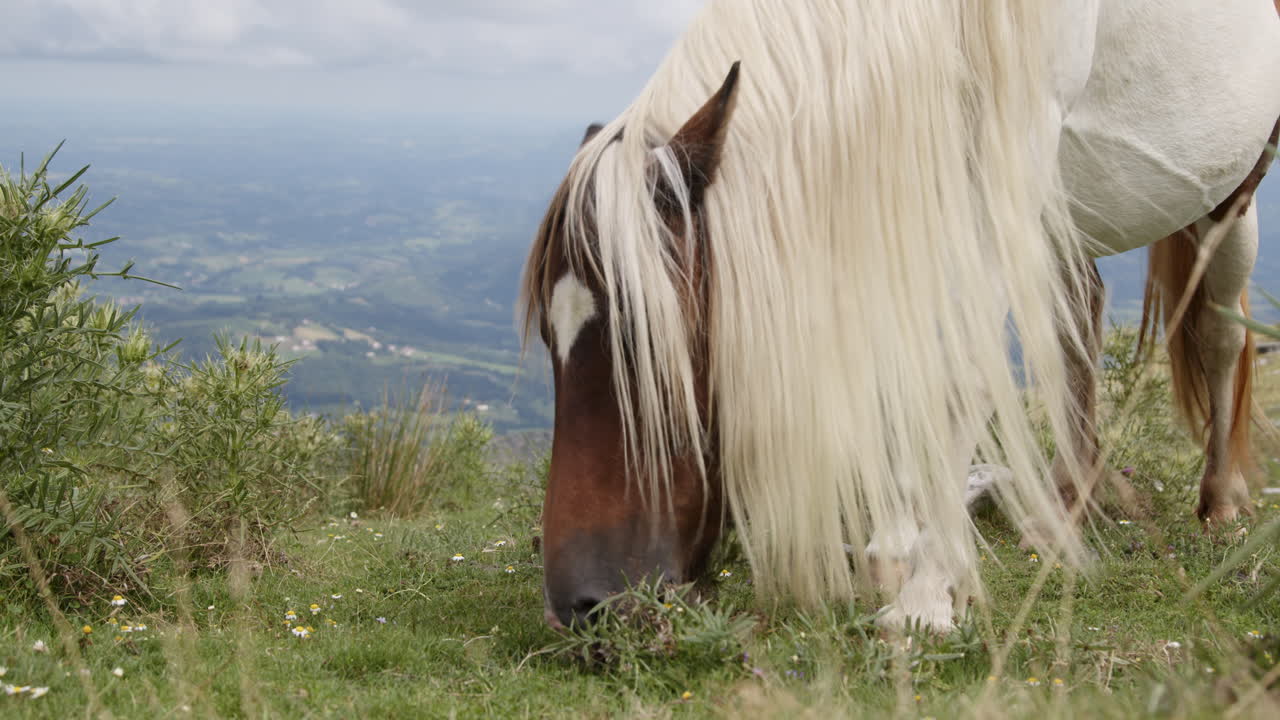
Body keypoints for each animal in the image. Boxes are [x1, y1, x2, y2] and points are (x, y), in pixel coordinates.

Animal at [519, 0, 1280, 632]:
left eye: (645, 344)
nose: (580, 604)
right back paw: (1068, 501)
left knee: (1219, 331)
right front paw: (896, 542)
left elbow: (959, 372)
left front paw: (927, 592)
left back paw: (1221, 499)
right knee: (1077, 315)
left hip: (1230, 191)